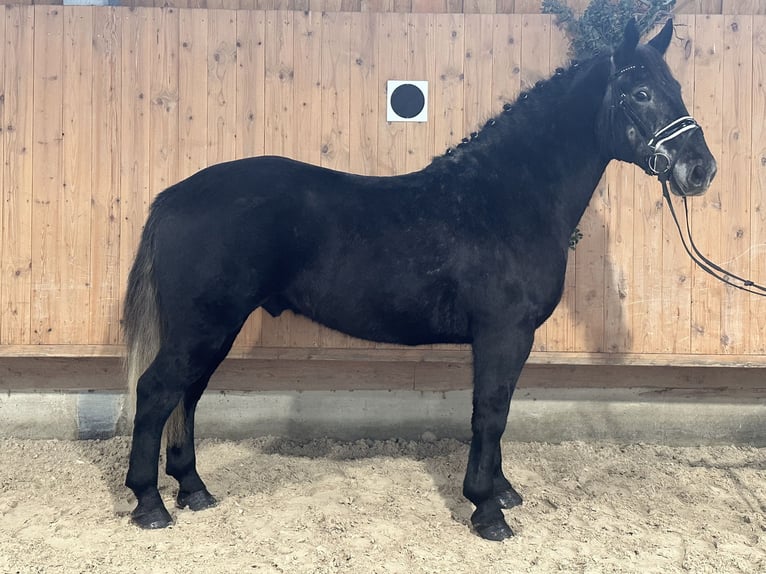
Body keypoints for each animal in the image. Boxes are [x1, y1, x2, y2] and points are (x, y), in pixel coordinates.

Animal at [126, 20, 720, 544]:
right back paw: (150, 505)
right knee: (157, 392)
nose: (700, 169)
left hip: (213, 331)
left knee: (187, 397)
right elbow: (491, 412)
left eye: (676, 89)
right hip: (203, 326)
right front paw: (487, 510)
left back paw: (194, 490)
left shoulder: (509, 338)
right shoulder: (504, 334)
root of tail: (173, 197)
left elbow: (498, 412)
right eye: (641, 92)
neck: (507, 197)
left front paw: (502, 492)